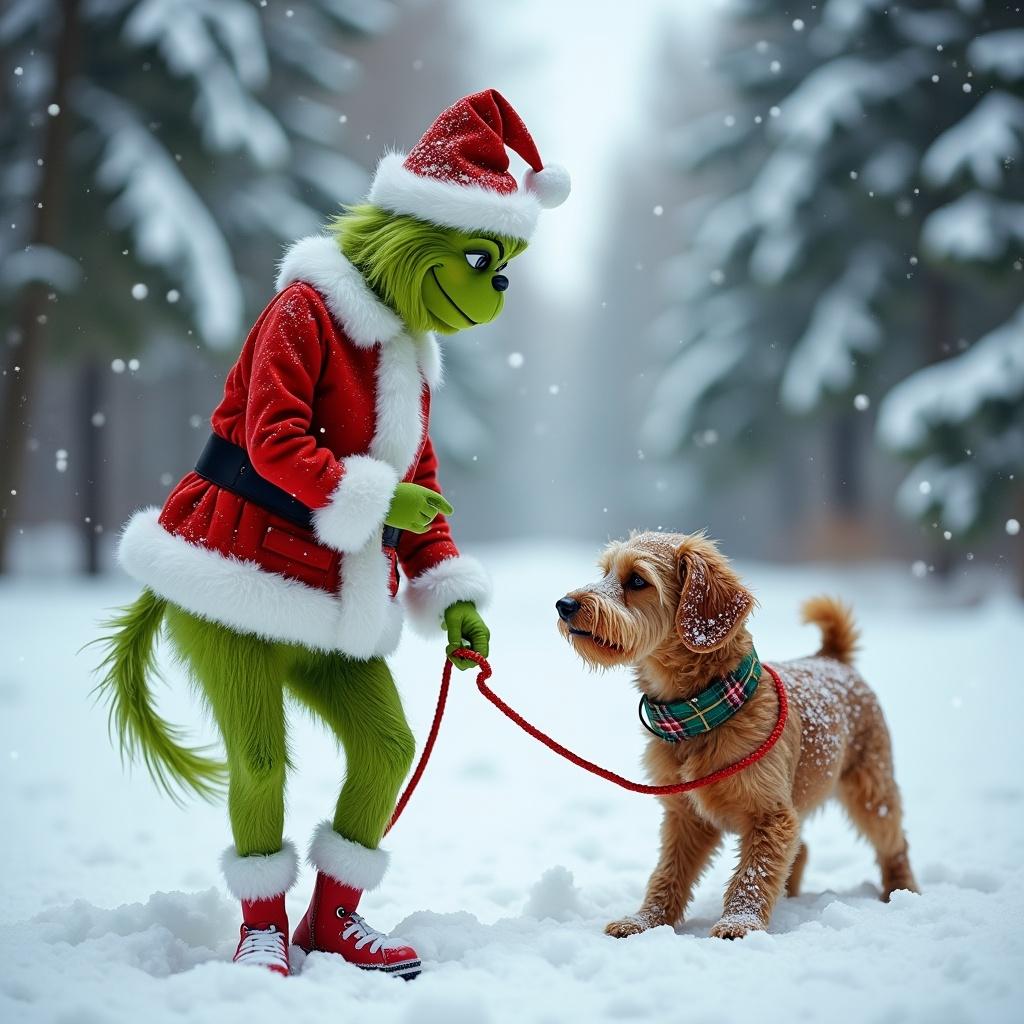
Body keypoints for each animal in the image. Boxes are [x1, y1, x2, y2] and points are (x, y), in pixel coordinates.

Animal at [561, 532, 921, 937]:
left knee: (894, 843)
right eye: (605, 572)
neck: (700, 713)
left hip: (871, 789)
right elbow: (668, 872)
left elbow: (754, 874)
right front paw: (644, 920)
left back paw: (901, 891)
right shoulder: (685, 815)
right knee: (802, 850)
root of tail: (831, 658)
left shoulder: (770, 814)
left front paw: (739, 924)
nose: (564, 604)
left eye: (637, 580)